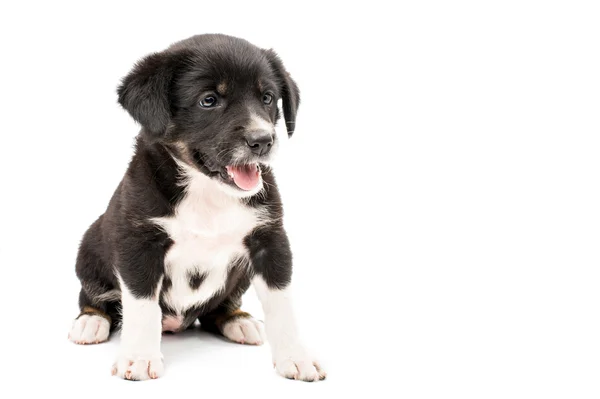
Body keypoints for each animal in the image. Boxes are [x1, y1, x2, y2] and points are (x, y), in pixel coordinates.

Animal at [68, 32, 326, 382]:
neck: (207, 191)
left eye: (268, 97)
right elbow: (141, 306)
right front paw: (139, 357)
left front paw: (296, 356)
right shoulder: (138, 243)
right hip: (90, 248)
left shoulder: (269, 239)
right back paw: (91, 320)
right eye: (209, 100)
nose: (263, 141)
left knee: (222, 306)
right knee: (92, 295)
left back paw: (239, 320)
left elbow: (282, 303)